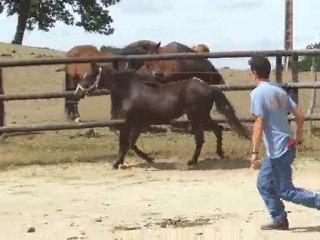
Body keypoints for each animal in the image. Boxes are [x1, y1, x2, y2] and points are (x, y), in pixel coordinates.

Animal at [74, 62, 250, 170]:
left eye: (88, 76)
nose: (77, 92)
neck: (129, 91)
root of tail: (209, 87)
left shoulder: (128, 123)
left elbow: (124, 144)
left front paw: (116, 164)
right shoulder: (138, 124)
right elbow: (131, 144)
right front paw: (148, 159)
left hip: (196, 118)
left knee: (201, 138)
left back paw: (193, 161)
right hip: (203, 117)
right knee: (218, 129)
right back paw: (220, 154)